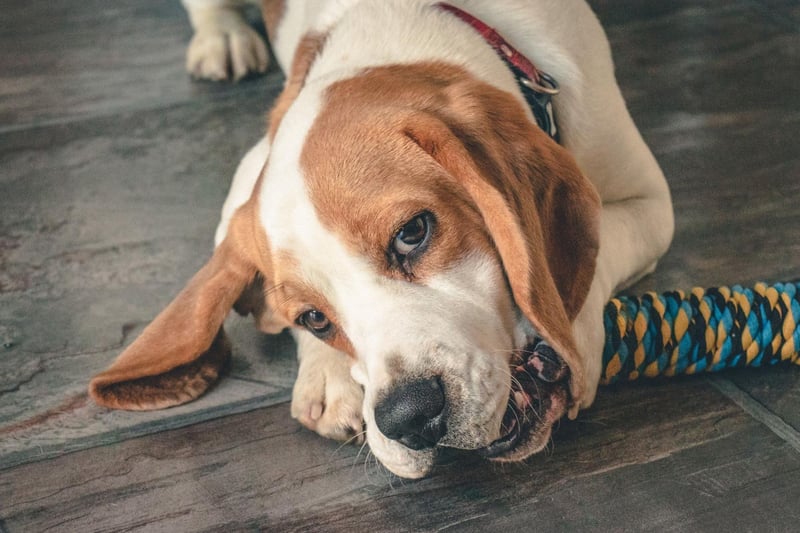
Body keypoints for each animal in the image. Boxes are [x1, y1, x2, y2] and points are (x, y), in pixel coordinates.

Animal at [87, 0, 676, 478]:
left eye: (413, 233)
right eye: (314, 318)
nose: (410, 418)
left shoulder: (652, 203)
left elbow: (601, 251)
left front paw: (576, 341)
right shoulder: (243, 190)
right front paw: (328, 375)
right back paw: (222, 38)